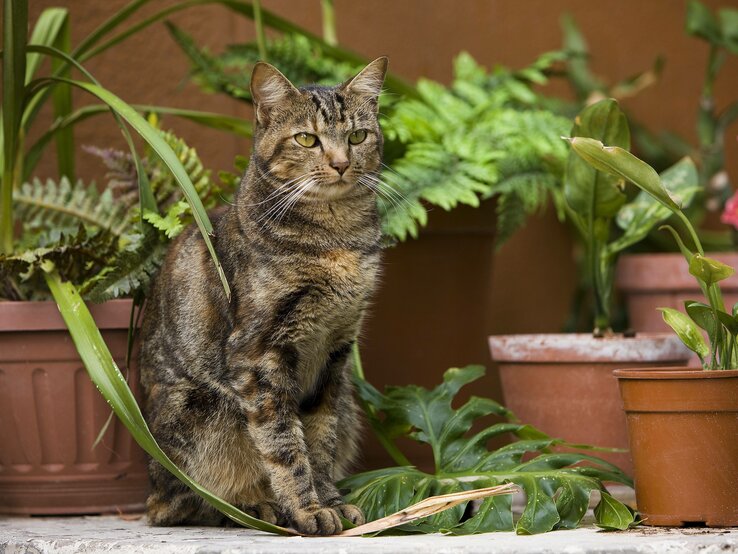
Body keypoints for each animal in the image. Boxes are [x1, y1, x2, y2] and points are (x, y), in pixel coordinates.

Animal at [141, 57, 388, 536]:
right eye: (307, 139)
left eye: (357, 136)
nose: (341, 164)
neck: (337, 237)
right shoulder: (259, 352)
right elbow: (284, 444)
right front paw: (307, 511)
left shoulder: (334, 356)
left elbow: (320, 440)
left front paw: (331, 501)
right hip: (203, 412)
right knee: (179, 505)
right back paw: (258, 508)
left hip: (349, 401)